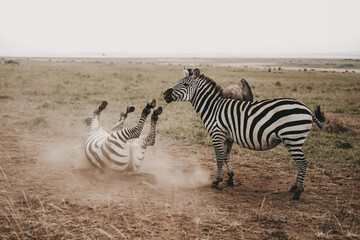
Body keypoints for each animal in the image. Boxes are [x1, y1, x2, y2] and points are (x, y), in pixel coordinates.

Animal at [164, 66, 326, 200]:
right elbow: (226, 157)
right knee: (301, 163)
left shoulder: (217, 135)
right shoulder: (228, 137)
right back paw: (295, 188)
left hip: (293, 138)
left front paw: (217, 181)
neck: (213, 108)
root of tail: (307, 109)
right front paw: (230, 178)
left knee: (303, 163)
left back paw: (298, 192)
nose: (165, 94)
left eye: (185, 85)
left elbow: (219, 158)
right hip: (294, 140)